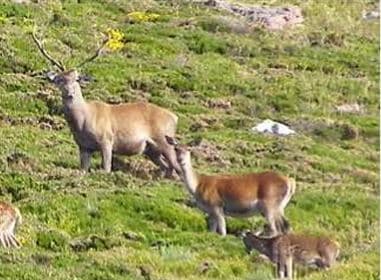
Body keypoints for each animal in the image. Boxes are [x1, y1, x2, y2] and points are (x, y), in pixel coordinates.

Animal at [31, 29, 180, 176]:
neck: (83, 122)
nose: (70, 93)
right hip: (151, 150)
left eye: (76, 79)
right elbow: (83, 169)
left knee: (175, 166)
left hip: (164, 140)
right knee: (166, 166)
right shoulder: (84, 146)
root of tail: (175, 117)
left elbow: (106, 168)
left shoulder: (107, 139)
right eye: (60, 80)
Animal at [164, 136, 294, 236]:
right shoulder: (210, 211)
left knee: (275, 229)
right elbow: (212, 230)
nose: (180, 159)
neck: (197, 186)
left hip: (269, 203)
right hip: (280, 207)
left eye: (189, 149)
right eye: (176, 148)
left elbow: (223, 231)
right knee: (286, 227)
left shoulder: (216, 205)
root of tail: (290, 182)